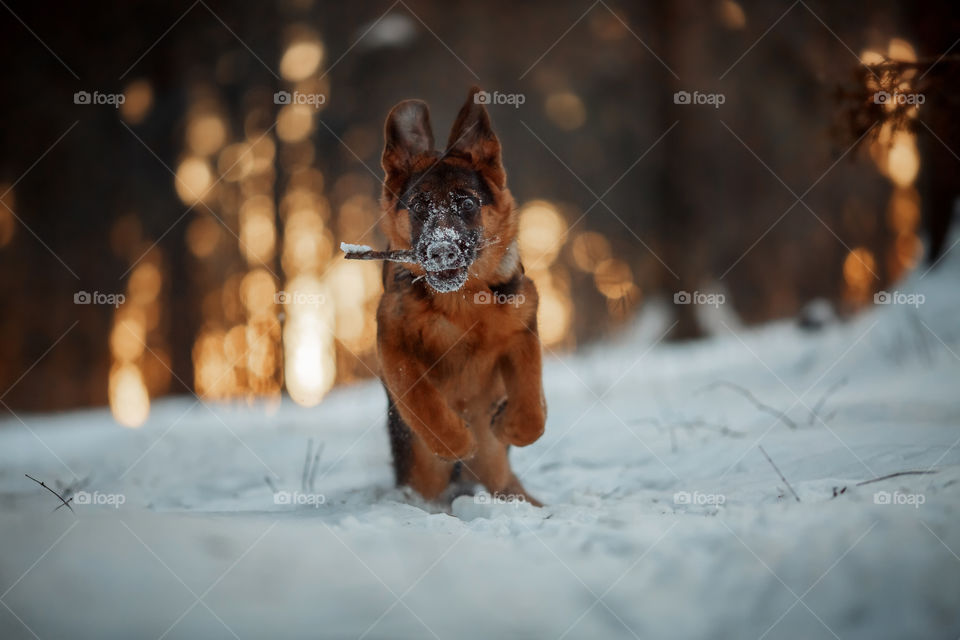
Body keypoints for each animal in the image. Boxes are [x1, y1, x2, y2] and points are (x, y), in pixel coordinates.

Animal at [380, 86, 552, 504]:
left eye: (468, 203)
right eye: (419, 207)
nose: (442, 251)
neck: (461, 301)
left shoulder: (522, 332)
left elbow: (532, 405)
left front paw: (510, 425)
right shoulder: (392, 343)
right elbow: (420, 398)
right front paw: (455, 440)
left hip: (496, 472)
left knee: (503, 478)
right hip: (422, 471)